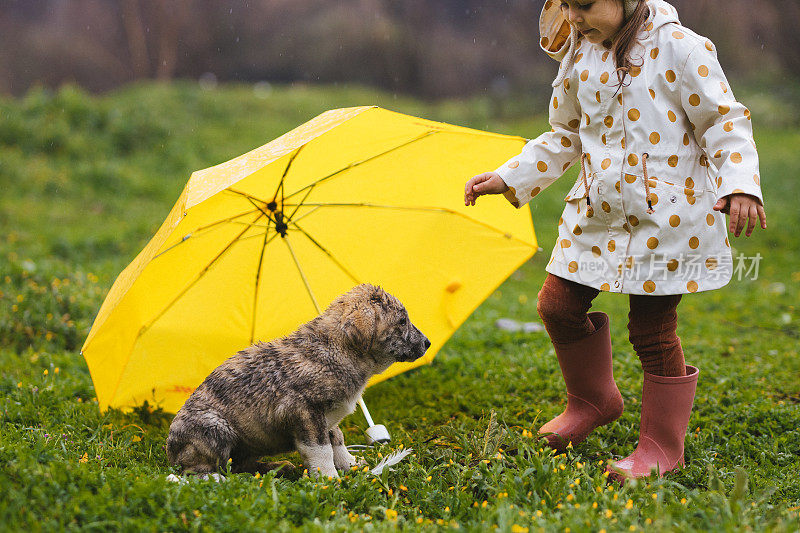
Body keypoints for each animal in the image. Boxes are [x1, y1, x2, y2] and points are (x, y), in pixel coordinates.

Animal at [164, 284, 432, 476]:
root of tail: (170, 451)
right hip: (214, 429)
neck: (339, 349)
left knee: (239, 465)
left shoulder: (327, 418)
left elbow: (337, 440)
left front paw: (353, 464)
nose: (427, 343)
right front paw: (330, 480)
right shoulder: (306, 413)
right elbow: (321, 451)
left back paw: (276, 467)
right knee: (199, 470)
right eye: (402, 322)